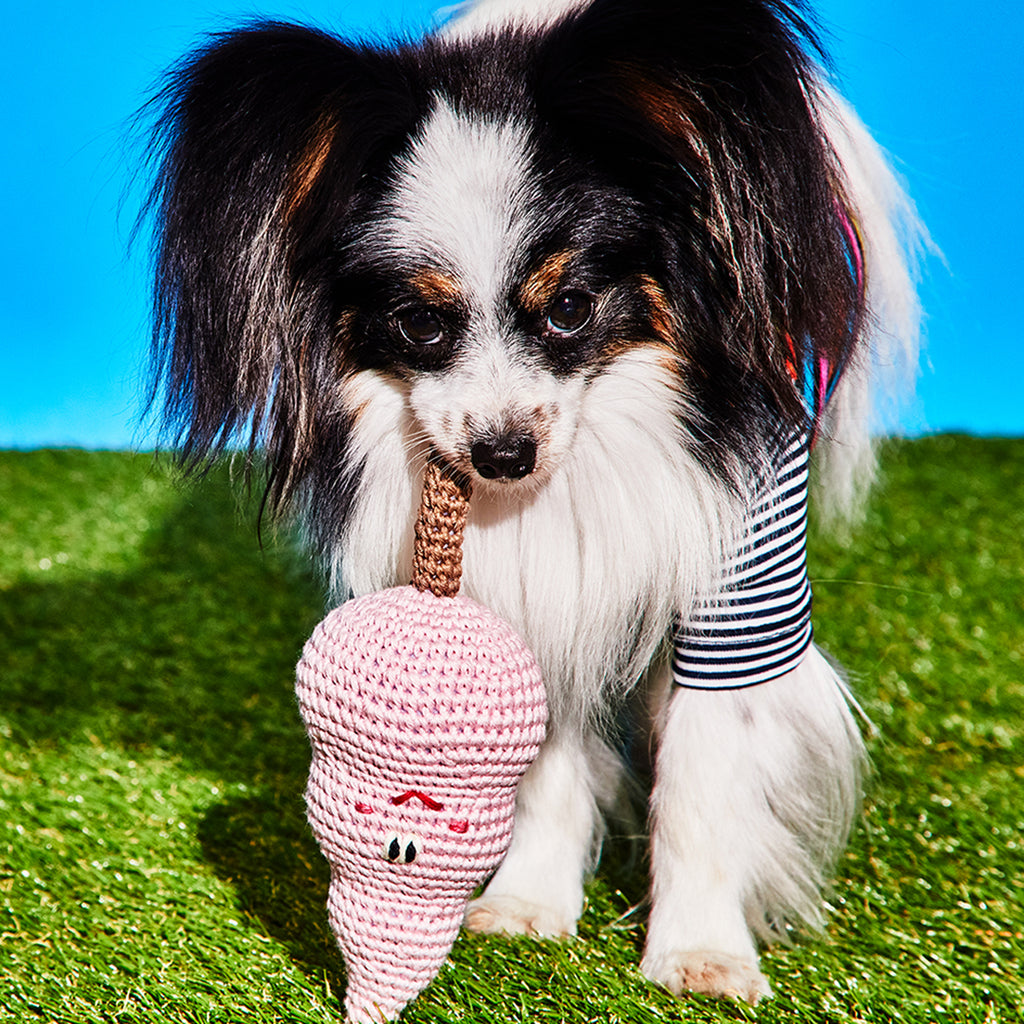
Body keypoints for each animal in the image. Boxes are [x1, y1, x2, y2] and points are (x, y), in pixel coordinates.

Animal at [142, 0, 921, 1007]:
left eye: (572, 308)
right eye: (419, 324)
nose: (503, 455)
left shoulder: (739, 592)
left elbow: (705, 777)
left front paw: (700, 952)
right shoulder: (528, 596)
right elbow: (545, 758)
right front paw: (531, 904)